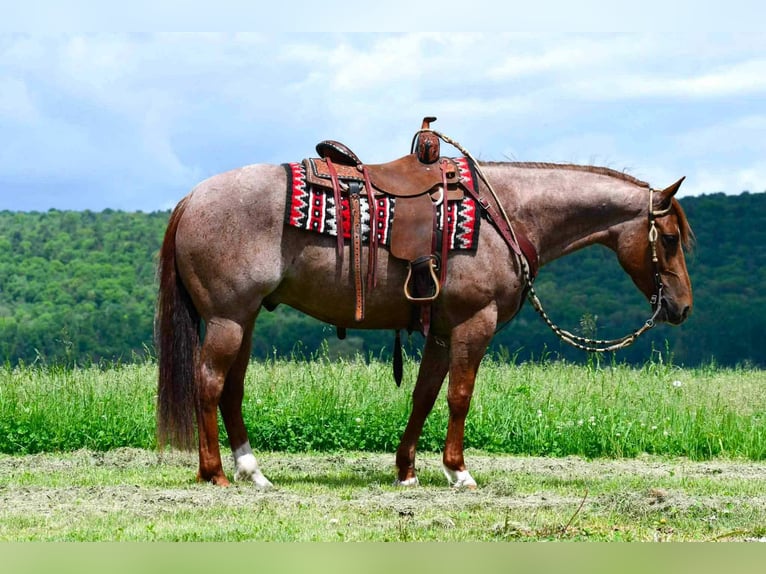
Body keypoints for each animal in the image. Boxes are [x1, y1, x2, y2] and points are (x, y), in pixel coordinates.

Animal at [156, 153, 694, 490]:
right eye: (668, 238)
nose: (682, 307)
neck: (506, 214)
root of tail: (191, 198)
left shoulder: (442, 331)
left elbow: (425, 395)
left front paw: (407, 470)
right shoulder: (474, 324)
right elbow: (459, 397)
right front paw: (458, 471)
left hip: (242, 321)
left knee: (231, 389)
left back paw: (252, 471)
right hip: (227, 319)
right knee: (209, 383)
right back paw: (214, 472)